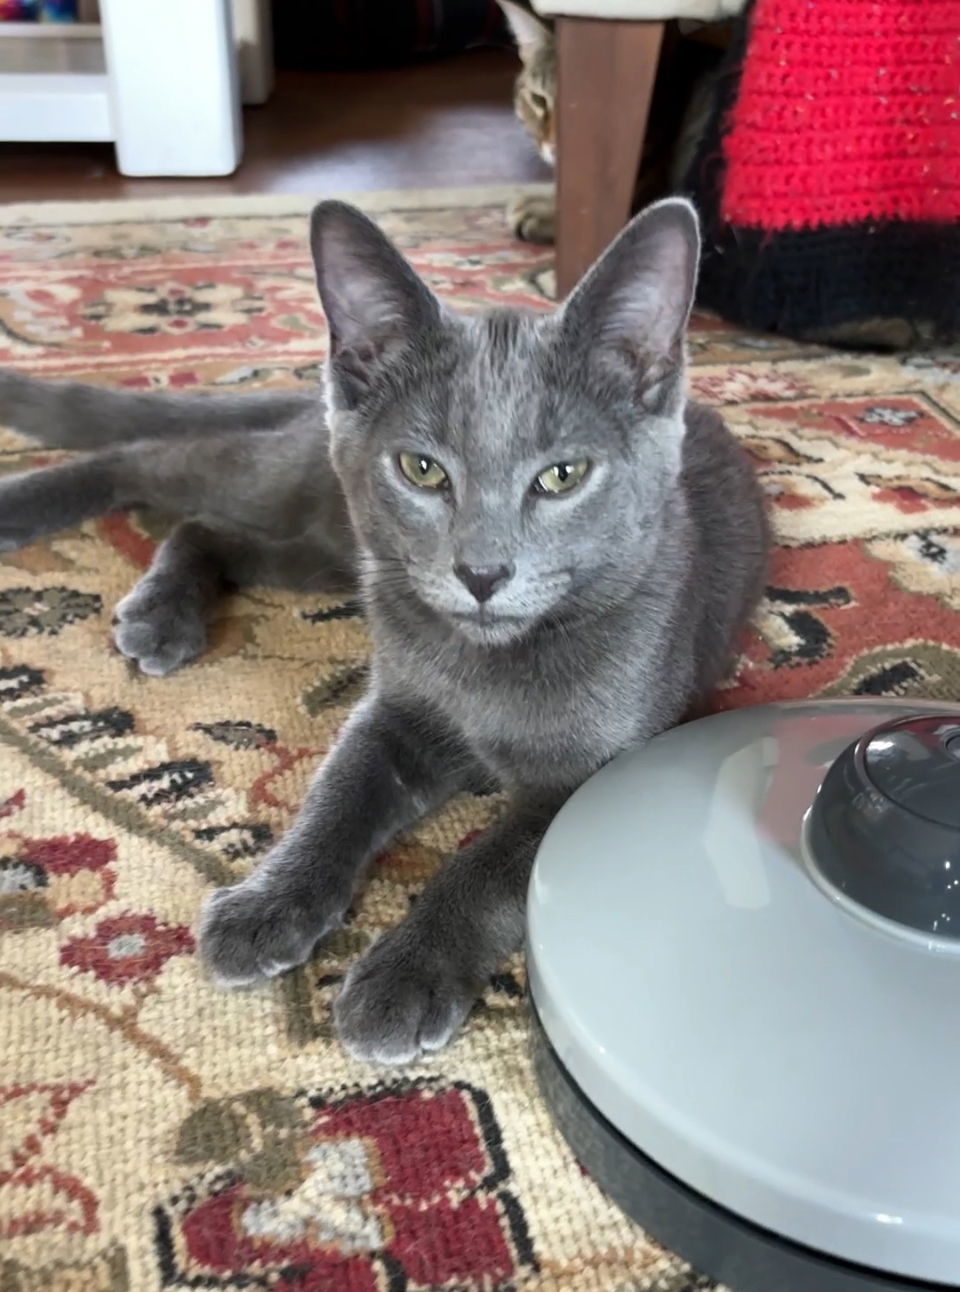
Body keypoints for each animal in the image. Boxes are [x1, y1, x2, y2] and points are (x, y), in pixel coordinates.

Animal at [0, 198, 764, 1059]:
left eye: (563, 475)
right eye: (421, 469)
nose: (481, 573)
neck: (484, 667)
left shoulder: (592, 775)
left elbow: (487, 866)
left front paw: (403, 974)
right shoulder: (397, 712)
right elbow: (337, 794)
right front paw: (269, 903)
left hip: (333, 553)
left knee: (208, 527)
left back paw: (161, 608)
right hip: (312, 501)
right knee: (148, 460)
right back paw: (39, 524)